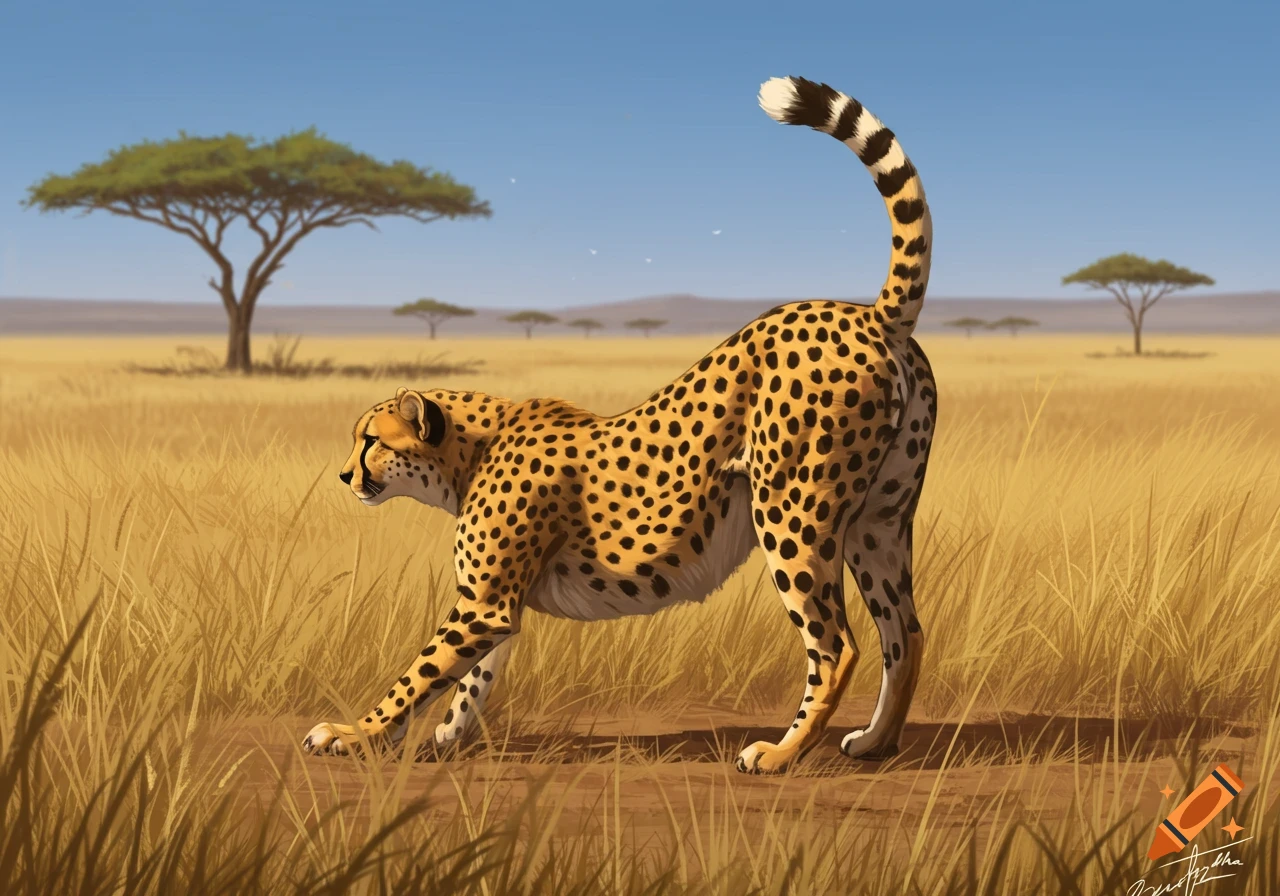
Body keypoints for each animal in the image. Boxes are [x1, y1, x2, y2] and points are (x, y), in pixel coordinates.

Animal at [303, 75, 937, 774]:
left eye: (370, 440)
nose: (344, 476)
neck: (469, 450)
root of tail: (866, 314)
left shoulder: (484, 602)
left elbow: (417, 674)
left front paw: (353, 734)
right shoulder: (496, 603)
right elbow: (472, 675)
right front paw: (447, 735)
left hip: (793, 512)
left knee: (837, 645)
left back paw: (780, 752)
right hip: (879, 520)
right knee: (904, 631)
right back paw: (876, 742)